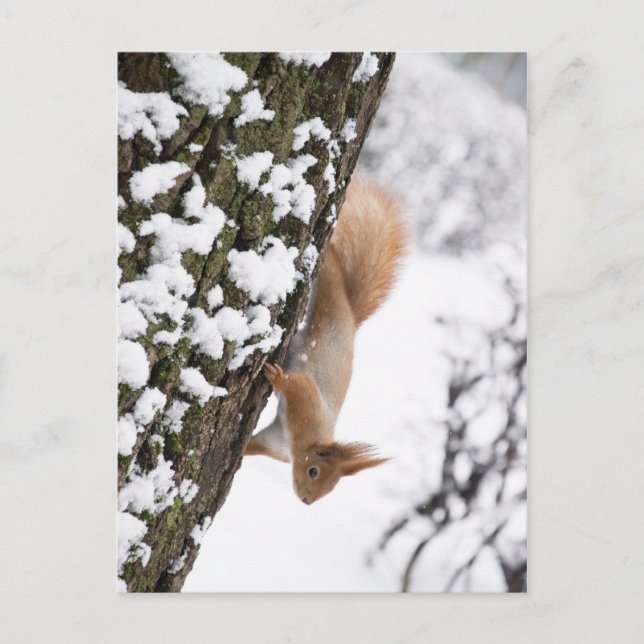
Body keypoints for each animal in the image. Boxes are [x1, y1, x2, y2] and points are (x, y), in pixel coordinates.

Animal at [244, 175, 407, 504]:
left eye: (330, 490)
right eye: (314, 472)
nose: (306, 501)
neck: (297, 444)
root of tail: (350, 318)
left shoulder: (273, 442)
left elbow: (250, 447)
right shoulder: (307, 402)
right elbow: (297, 385)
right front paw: (276, 376)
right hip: (330, 293)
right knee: (330, 263)